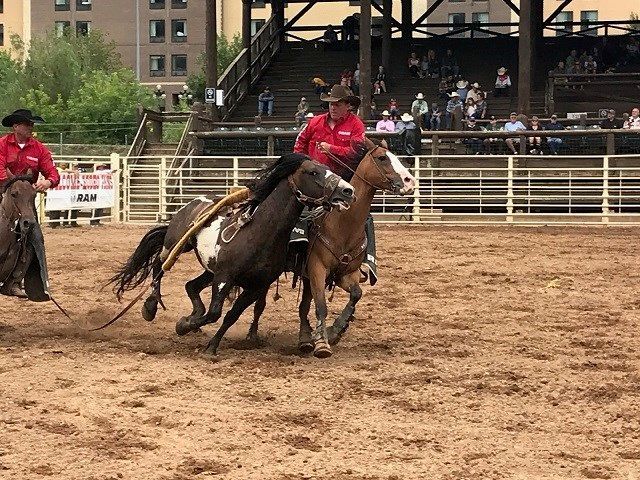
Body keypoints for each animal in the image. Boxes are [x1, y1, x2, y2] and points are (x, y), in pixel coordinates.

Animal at [106, 153, 356, 356]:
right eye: (313, 172)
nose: (347, 191)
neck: (260, 232)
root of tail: (194, 202)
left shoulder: (255, 286)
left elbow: (230, 315)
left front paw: (209, 343)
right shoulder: (225, 278)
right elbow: (215, 312)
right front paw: (184, 325)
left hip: (210, 270)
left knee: (190, 285)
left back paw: (191, 314)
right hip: (177, 244)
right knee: (160, 266)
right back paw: (150, 306)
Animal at [248, 137, 418, 358]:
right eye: (382, 158)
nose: (409, 181)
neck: (342, 225)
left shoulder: (347, 275)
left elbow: (356, 295)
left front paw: (335, 330)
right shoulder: (317, 269)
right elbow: (321, 306)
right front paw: (322, 343)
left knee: (303, 306)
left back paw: (305, 339)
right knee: (261, 303)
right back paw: (253, 335)